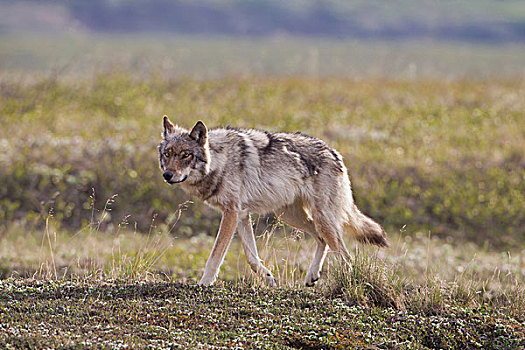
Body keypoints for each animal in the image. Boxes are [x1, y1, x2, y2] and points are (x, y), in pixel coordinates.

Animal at [158, 116, 386, 286]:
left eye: (186, 155)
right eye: (167, 154)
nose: (167, 175)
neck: (220, 161)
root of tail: (335, 153)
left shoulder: (231, 213)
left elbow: (215, 256)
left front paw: (204, 284)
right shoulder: (241, 215)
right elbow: (251, 257)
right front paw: (267, 277)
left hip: (321, 220)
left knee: (345, 256)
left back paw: (348, 284)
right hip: (289, 216)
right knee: (323, 241)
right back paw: (312, 276)